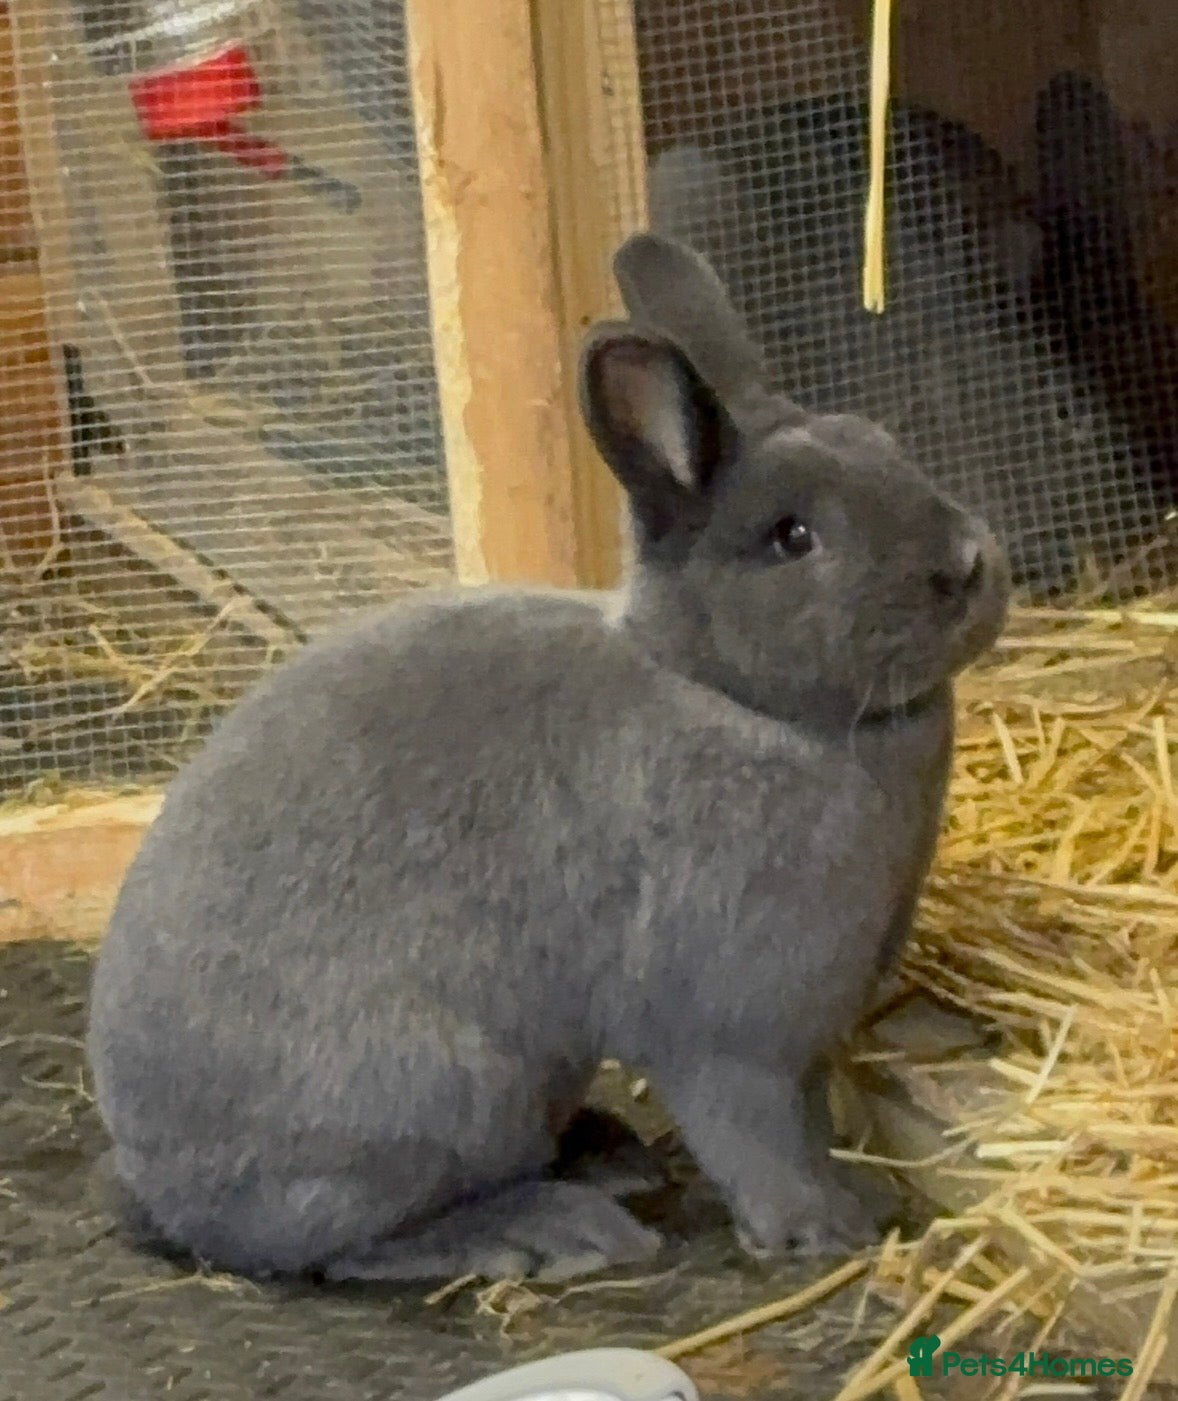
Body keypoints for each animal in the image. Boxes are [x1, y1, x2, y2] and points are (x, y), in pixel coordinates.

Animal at [86, 231, 1009, 1285]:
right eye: (792, 536)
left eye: (884, 445)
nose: (968, 564)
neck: (732, 695)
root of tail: (161, 1185)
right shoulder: (729, 1032)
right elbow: (760, 1136)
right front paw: (824, 1229)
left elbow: (810, 1123)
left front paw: (864, 1197)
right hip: (441, 1094)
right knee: (353, 1244)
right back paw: (554, 1228)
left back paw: (604, 1154)